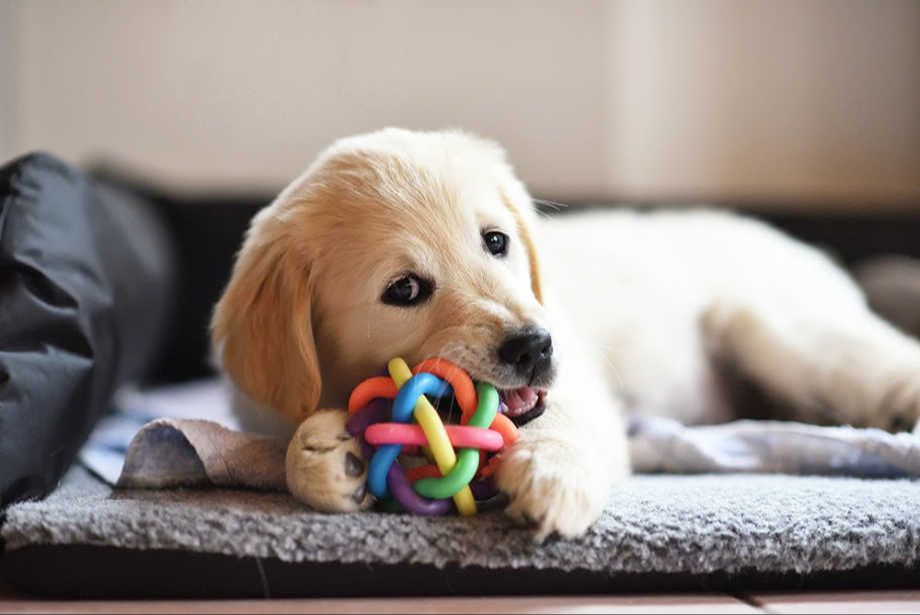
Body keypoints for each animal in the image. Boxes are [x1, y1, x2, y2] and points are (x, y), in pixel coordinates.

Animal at [212, 126, 920, 540]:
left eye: (496, 241)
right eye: (404, 290)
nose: (534, 346)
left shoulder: (582, 389)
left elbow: (562, 422)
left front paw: (552, 476)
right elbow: (287, 443)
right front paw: (324, 454)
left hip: (779, 332)